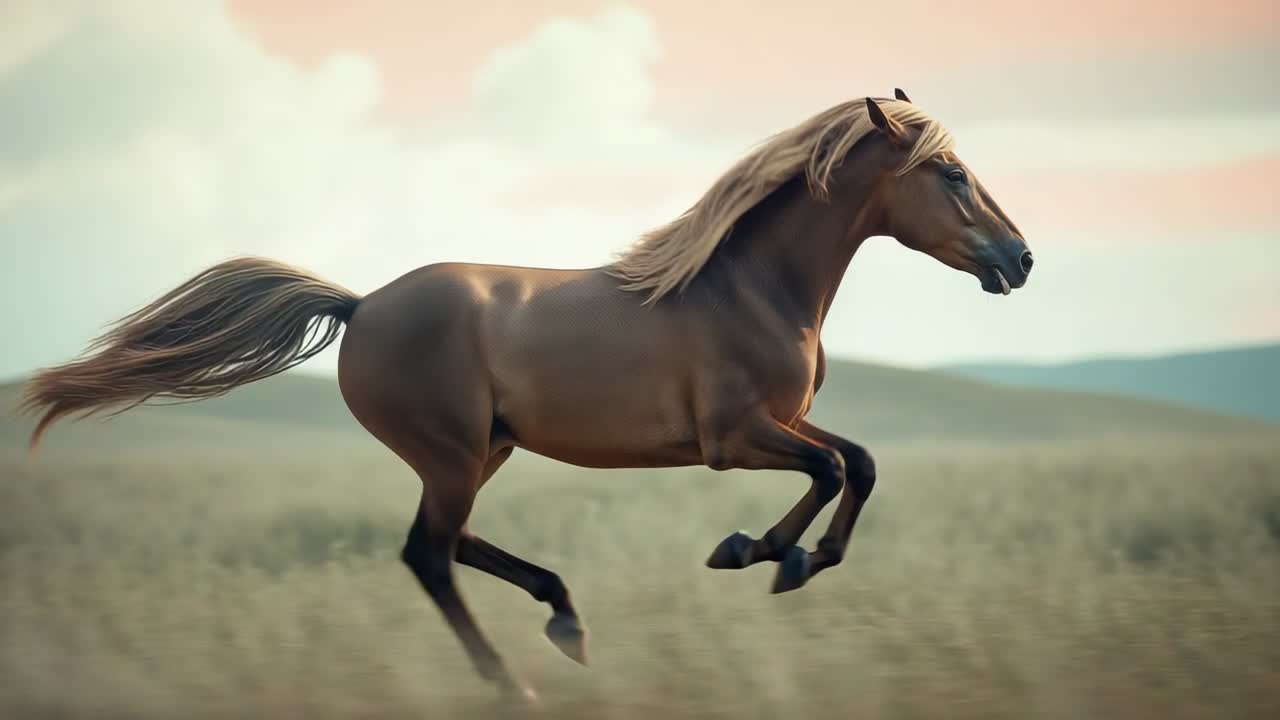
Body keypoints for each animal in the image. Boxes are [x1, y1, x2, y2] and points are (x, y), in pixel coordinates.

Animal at [20, 90, 1033, 703]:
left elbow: (859, 460)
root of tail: (359, 305)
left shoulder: (782, 421)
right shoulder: (735, 436)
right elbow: (830, 470)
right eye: (950, 174)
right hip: (454, 453)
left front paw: (786, 556)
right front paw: (758, 552)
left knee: (450, 542)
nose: (1020, 260)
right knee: (430, 553)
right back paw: (518, 682)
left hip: (485, 450)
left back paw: (565, 618)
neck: (749, 286)